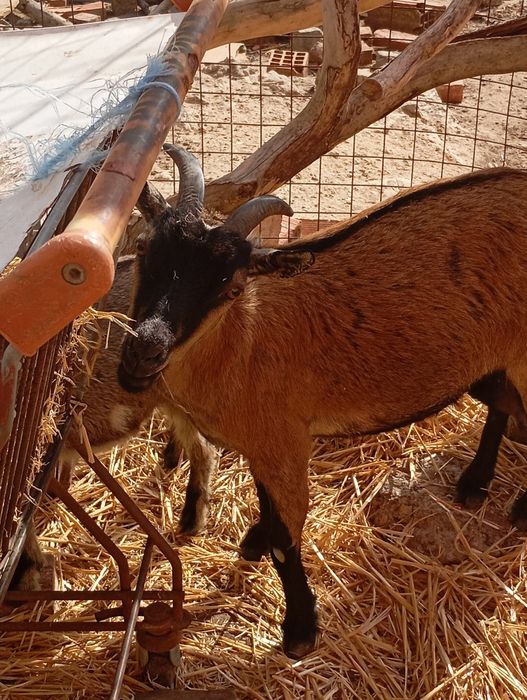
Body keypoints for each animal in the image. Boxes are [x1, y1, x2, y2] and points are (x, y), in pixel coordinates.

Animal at [118, 144, 527, 659]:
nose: (145, 350)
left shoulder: (284, 441)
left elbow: (286, 536)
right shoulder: (264, 444)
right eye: (145, 249)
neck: (240, 343)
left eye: (231, 287)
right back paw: (475, 483)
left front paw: (299, 630)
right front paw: (253, 541)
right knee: (503, 405)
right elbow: (269, 511)